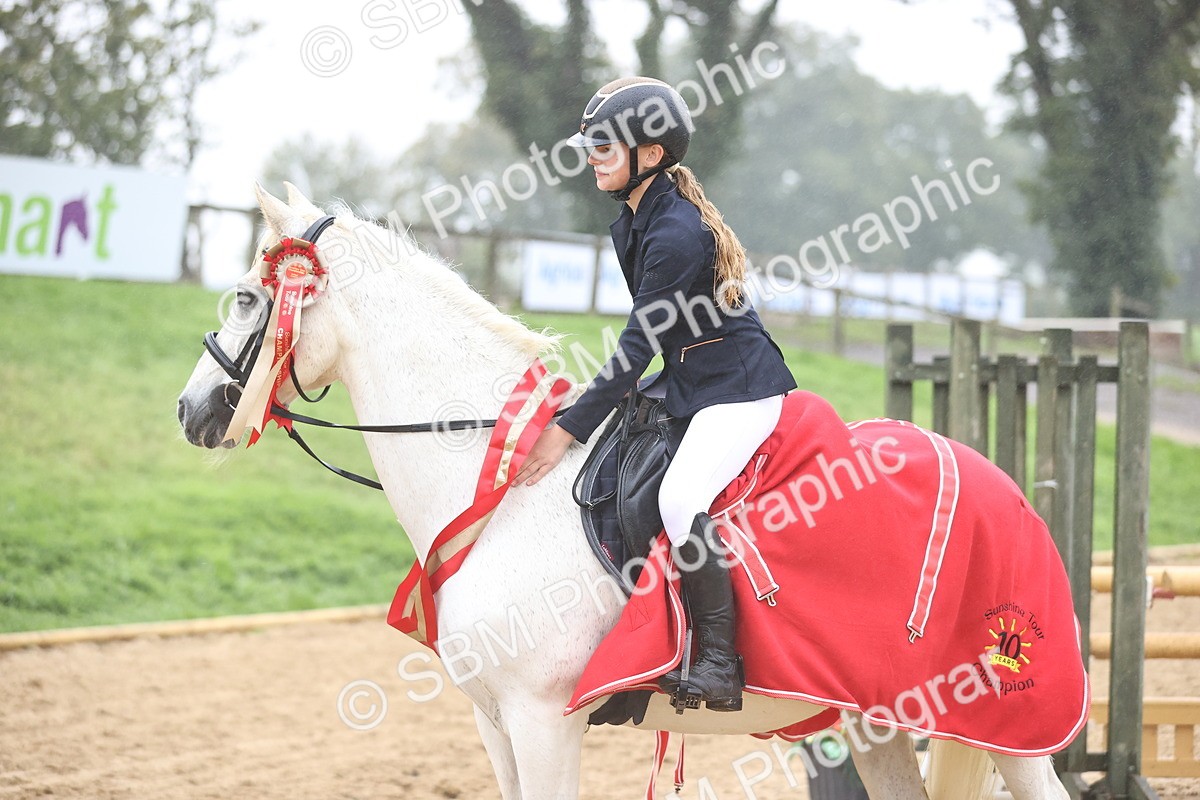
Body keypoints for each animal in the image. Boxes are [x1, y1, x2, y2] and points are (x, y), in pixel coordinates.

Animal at [176, 184, 1073, 799]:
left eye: (249, 296)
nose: (193, 410)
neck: (501, 487)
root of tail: (1011, 491)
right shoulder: (495, 722)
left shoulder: (543, 720)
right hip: (878, 720)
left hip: (1005, 727)